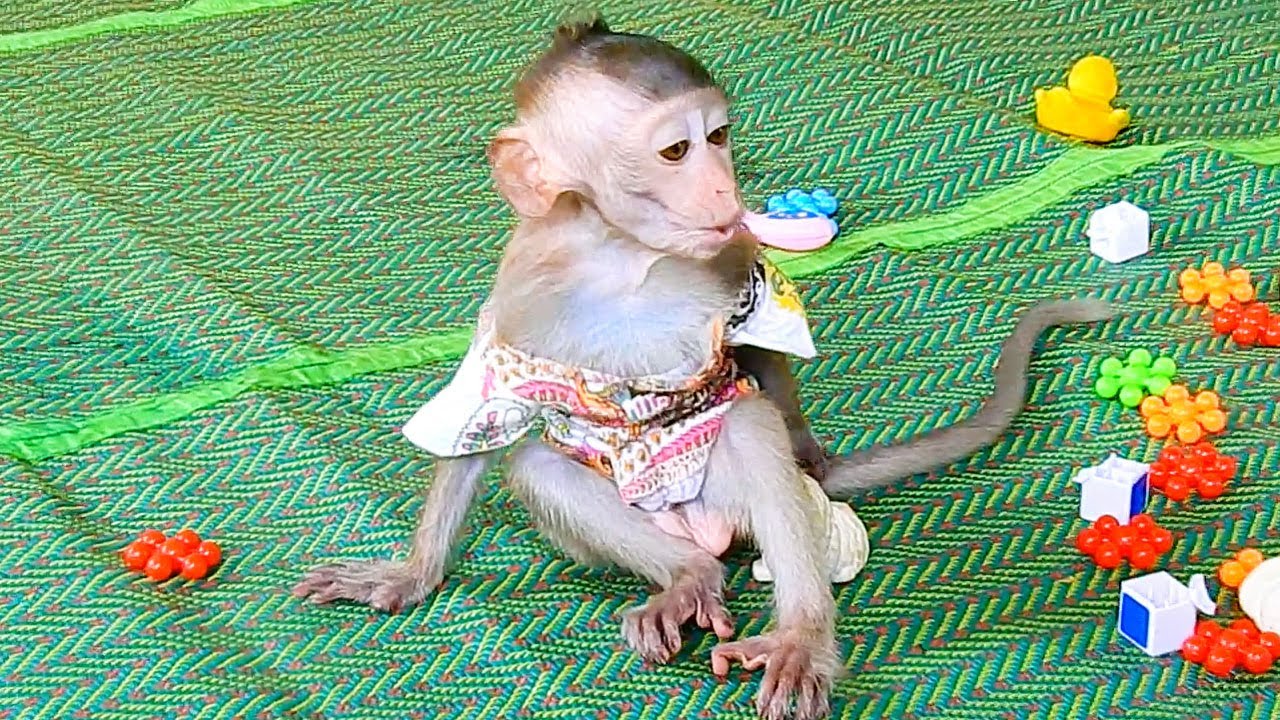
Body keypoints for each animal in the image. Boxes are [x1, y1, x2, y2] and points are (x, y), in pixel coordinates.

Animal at [292, 16, 1113, 720]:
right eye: (675, 152)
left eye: (717, 137)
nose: (727, 187)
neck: (625, 262)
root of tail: (701, 529)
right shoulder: (515, 299)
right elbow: (486, 425)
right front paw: (409, 574)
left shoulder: (736, 257)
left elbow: (763, 354)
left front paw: (806, 446)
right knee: (539, 467)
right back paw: (688, 580)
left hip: (733, 494)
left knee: (748, 422)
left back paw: (800, 636)